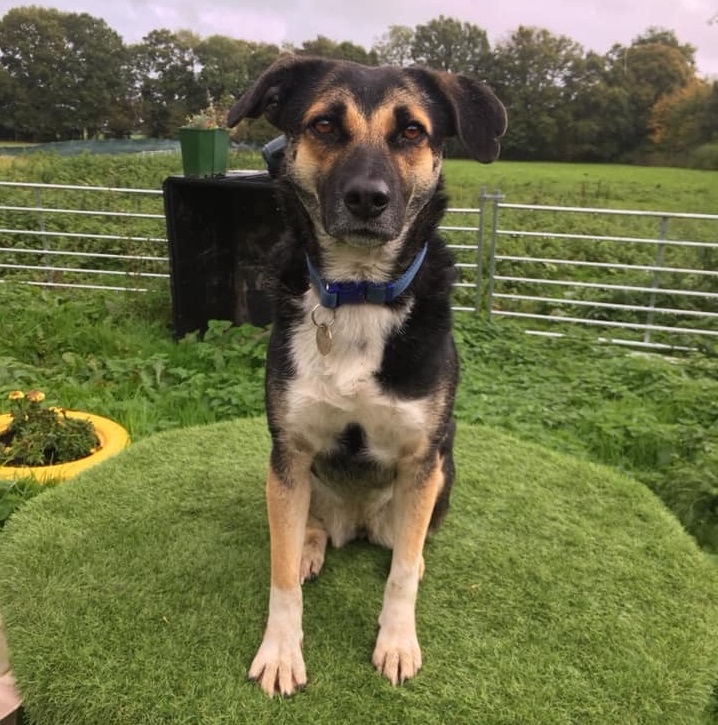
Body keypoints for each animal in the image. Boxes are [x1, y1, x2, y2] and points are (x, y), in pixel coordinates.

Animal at [228, 56, 510, 696]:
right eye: (325, 125)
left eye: (411, 132)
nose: (366, 199)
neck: (359, 293)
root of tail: (355, 525)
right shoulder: (288, 451)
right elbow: (280, 574)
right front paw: (280, 651)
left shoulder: (422, 457)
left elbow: (400, 573)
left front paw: (397, 642)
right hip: (291, 482)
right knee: (303, 530)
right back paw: (311, 544)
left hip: (443, 472)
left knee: (410, 539)